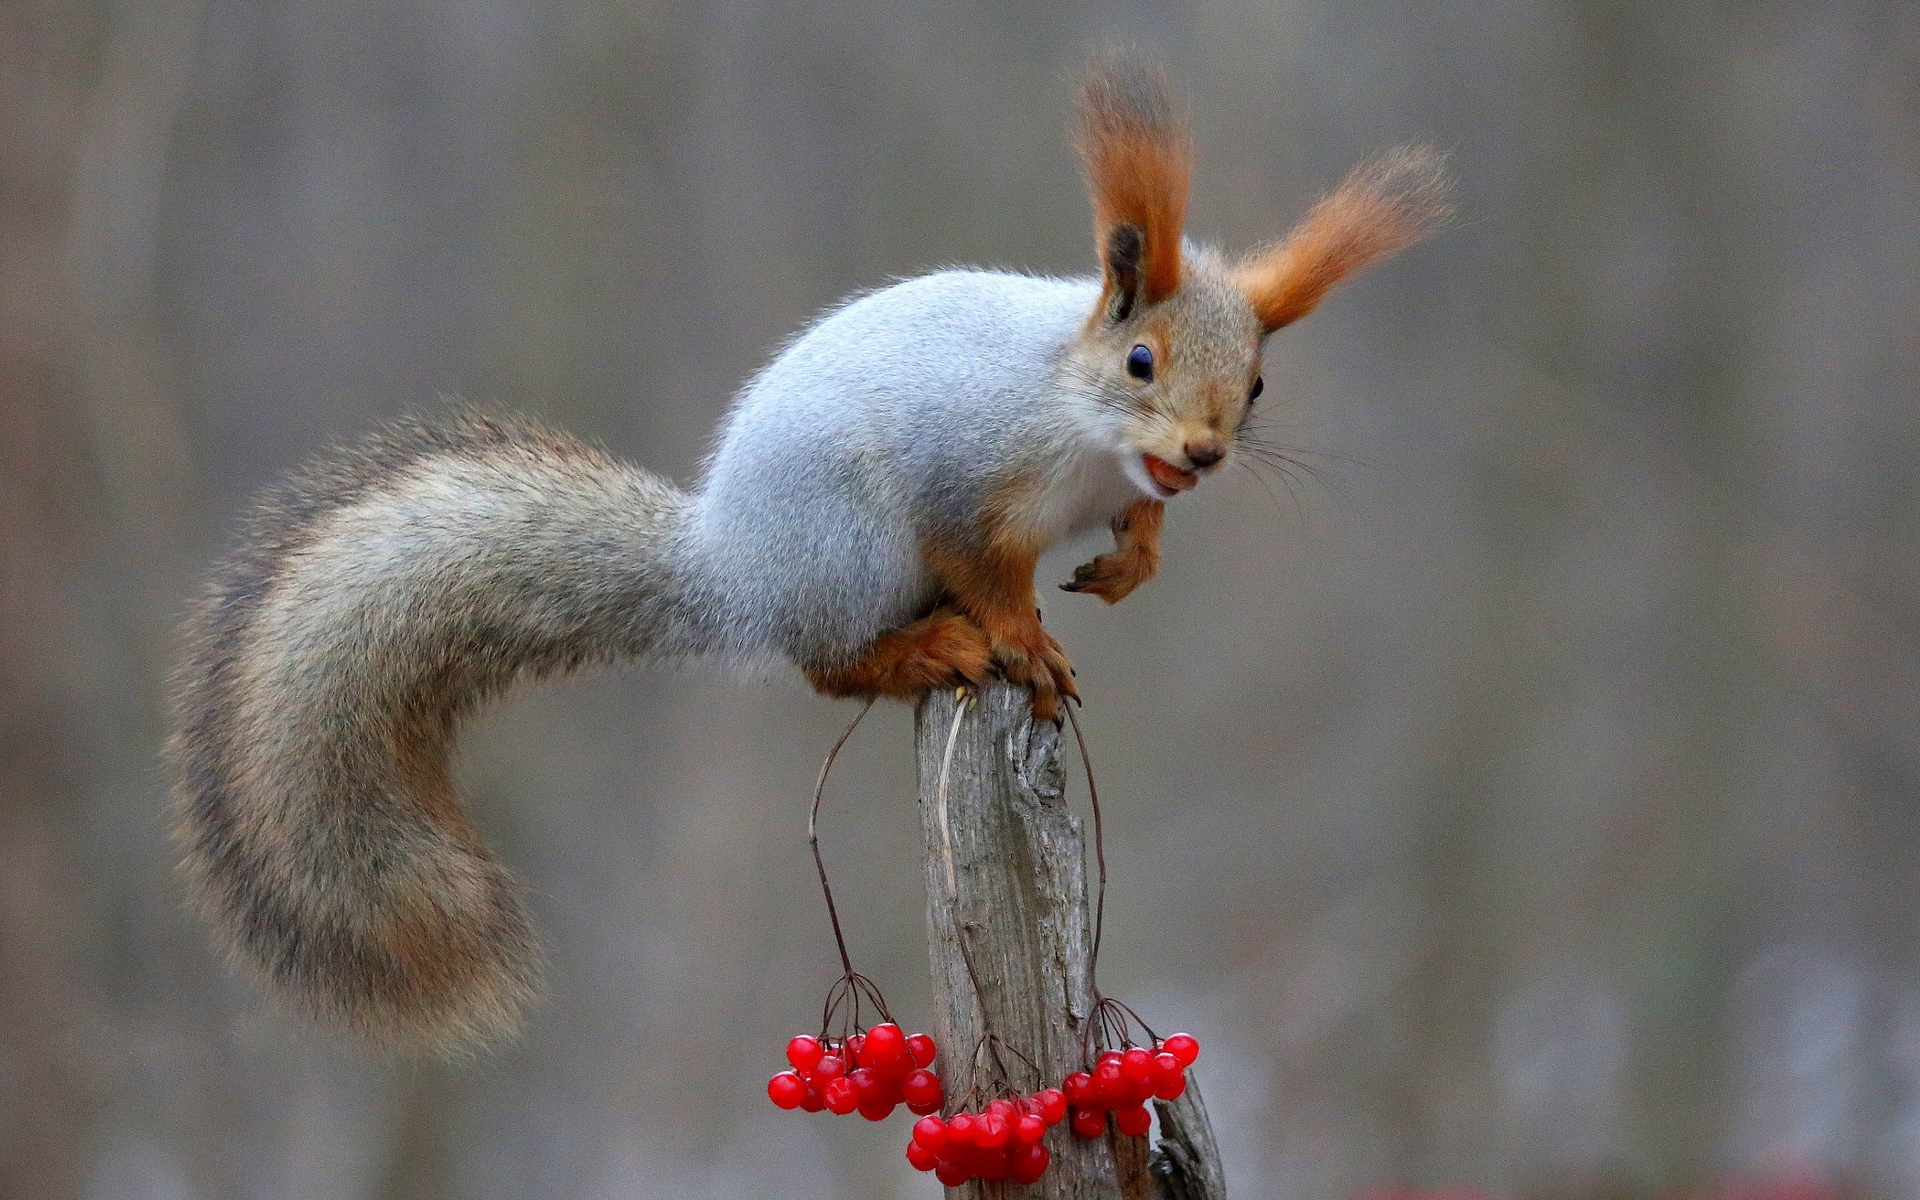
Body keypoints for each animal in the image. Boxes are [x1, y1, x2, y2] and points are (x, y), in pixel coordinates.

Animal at [168, 51, 1451, 1052]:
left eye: (1259, 384)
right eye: (1141, 362)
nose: (1204, 451)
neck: (1076, 420)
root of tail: (733, 571)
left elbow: (1139, 527)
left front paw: (1131, 562)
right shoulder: (961, 478)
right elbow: (988, 567)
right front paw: (1026, 637)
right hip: (851, 546)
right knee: (827, 663)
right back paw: (930, 650)